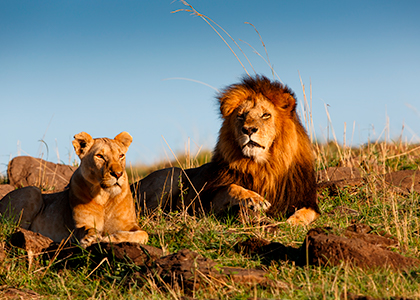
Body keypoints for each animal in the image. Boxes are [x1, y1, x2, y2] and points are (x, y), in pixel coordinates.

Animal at [0, 131, 148, 246]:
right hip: (32, 191)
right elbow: (85, 229)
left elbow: (143, 234)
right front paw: (90, 237)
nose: (118, 174)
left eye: (121, 155)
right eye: (99, 156)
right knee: (12, 228)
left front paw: (110, 238)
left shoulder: (130, 225)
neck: (105, 196)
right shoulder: (78, 226)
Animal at [133, 75, 320, 225]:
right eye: (241, 115)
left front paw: (292, 222)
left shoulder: (305, 199)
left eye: (266, 115)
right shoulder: (208, 203)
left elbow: (307, 213)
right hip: (173, 173)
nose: (248, 129)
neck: (263, 166)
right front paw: (255, 199)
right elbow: (232, 187)